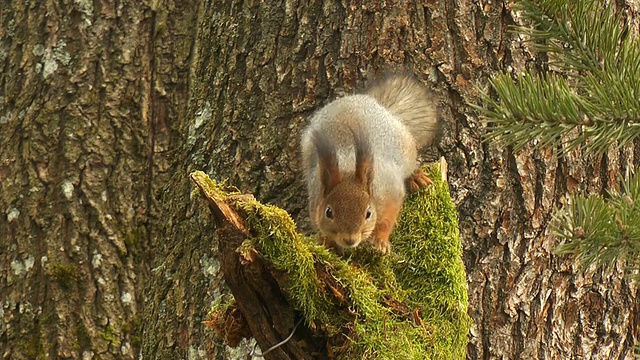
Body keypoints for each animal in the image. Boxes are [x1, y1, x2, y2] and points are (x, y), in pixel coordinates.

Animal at [302, 74, 440, 253]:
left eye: (368, 213)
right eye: (328, 212)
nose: (349, 240)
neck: (348, 169)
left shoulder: (390, 191)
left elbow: (388, 219)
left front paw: (380, 241)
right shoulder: (315, 200)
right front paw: (326, 243)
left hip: (406, 148)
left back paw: (416, 177)